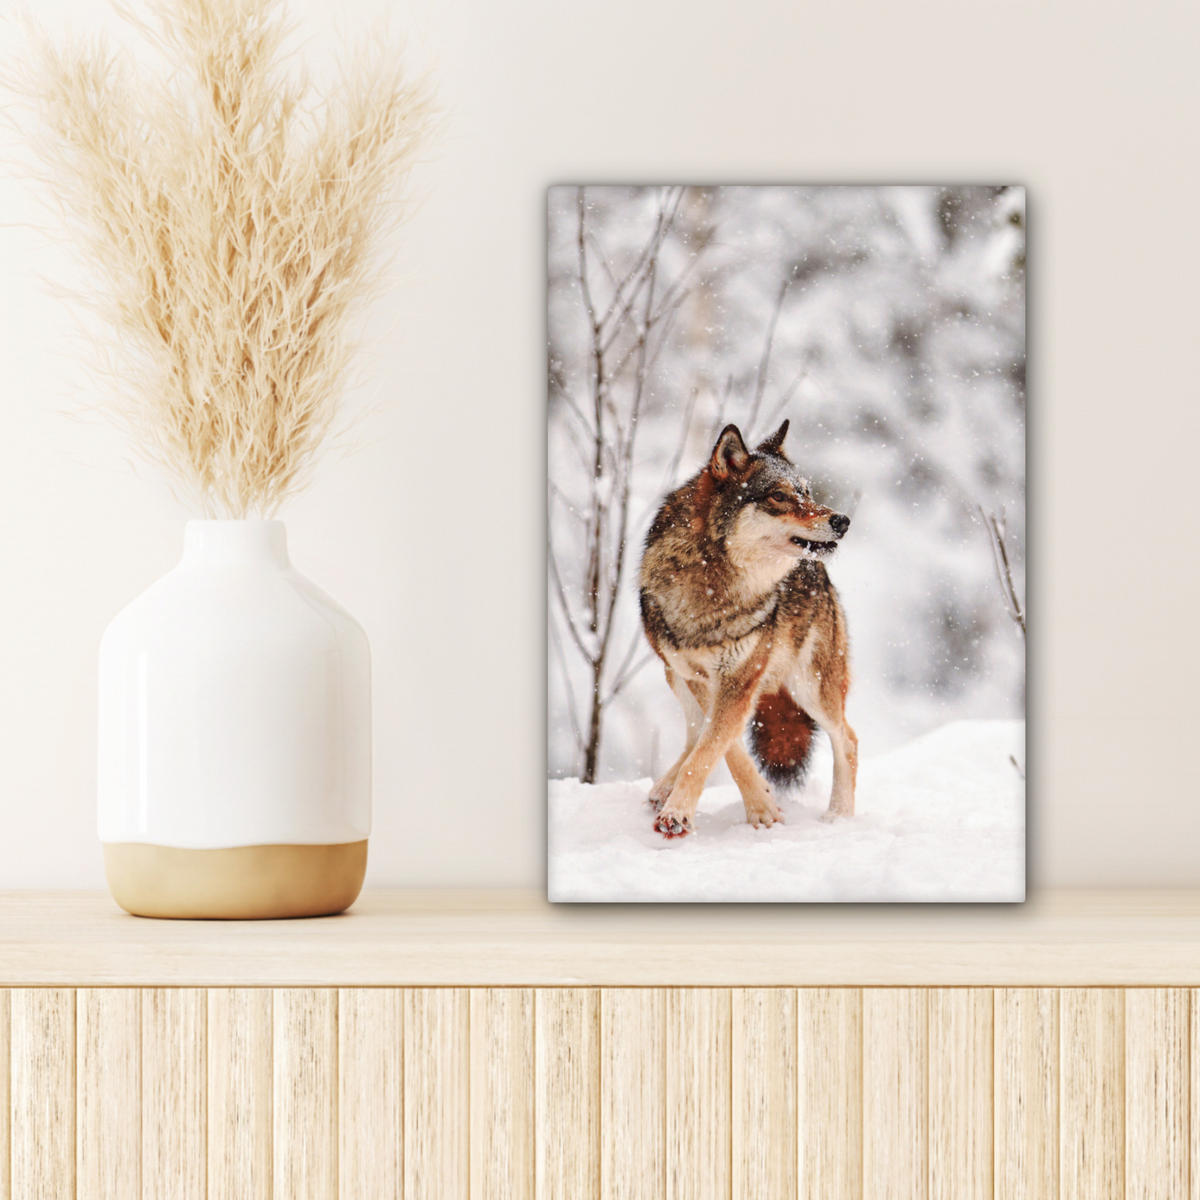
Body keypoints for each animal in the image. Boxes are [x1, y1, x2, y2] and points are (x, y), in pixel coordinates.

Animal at [638, 419, 857, 838]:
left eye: (807, 492)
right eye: (779, 496)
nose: (842, 520)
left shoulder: (739, 678)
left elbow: (713, 747)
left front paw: (681, 814)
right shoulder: (700, 677)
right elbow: (721, 746)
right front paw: (762, 805)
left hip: (811, 687)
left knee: (848, 739)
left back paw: (839, 817)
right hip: (674, 676)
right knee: (694, 732)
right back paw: (662, 788)